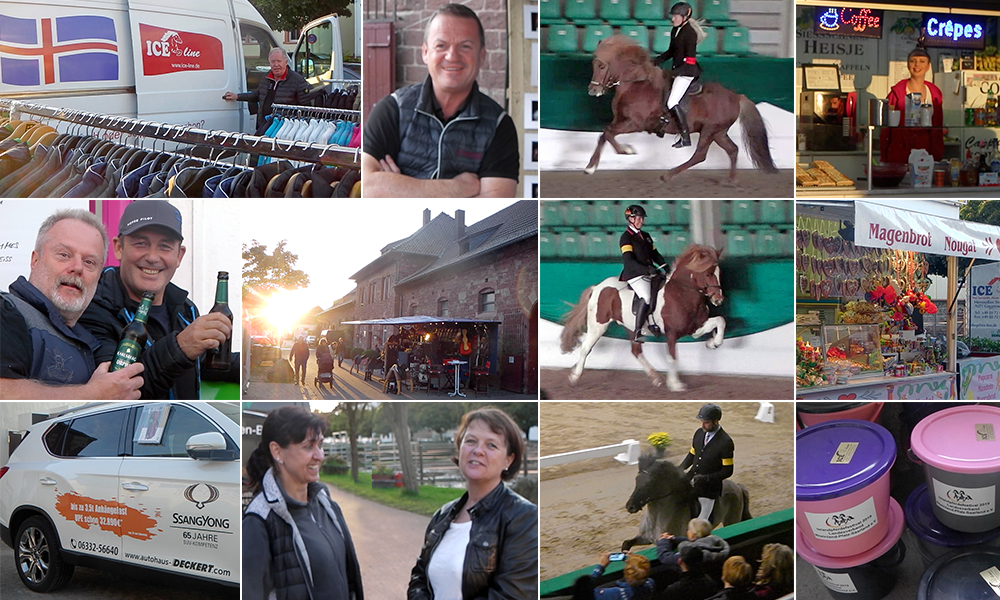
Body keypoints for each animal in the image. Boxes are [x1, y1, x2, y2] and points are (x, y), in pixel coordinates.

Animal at [560, 245, 724, 394]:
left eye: (719, 272)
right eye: (708, 273)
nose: (718, 300)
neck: (682, 294)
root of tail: (598, 287)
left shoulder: (695, 328)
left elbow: (720, 321)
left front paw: (713, 343)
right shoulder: (672, 333)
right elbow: (671, 357)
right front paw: (676, 384)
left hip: (631, 328)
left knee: (636, 351)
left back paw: (655, 377)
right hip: (598, 326)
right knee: (586, 348)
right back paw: (575, 377)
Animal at [584, 35, 780, 183]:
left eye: (602, 65)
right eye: (592, 65)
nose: (592, 90)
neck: (636, 84)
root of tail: (736, 96)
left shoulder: (635, 123)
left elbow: (609, 134)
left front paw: (627, 150)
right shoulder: (619, 120)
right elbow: (605, 134)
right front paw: (590, 167)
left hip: (709, 131)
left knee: (700, 155)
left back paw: (667, 175)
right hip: (719, 132)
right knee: (732, 150)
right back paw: (731, 180)